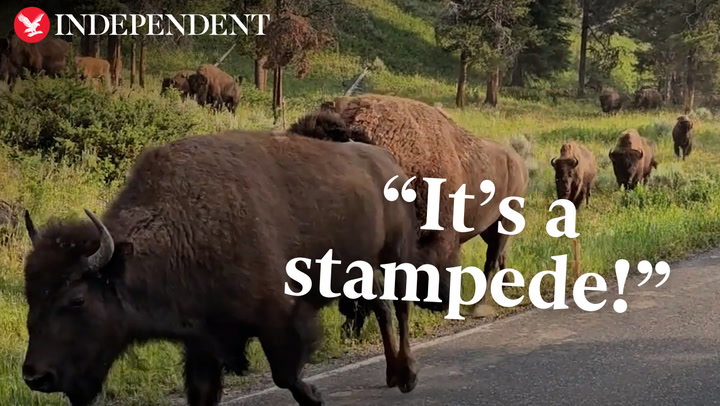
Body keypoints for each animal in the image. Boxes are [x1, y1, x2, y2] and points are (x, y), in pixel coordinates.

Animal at [21, 113, 444, 406]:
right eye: (31, 295)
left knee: (400, 308)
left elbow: (286, 375)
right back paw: (392, 373)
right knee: (382, 309)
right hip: (363, 268)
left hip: (395, 256)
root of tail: (386, 160)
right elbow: (205, 392)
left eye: (77, 299)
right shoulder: (202, 342)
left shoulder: (280, 320)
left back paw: (407, 375)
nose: (35, 376)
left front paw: (317, 395)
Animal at [312, 93, 532, 332]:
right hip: (490, 229)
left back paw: (478, 307)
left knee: (491, 261)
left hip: (504, 222)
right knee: (500, 255)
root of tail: (517, 161)